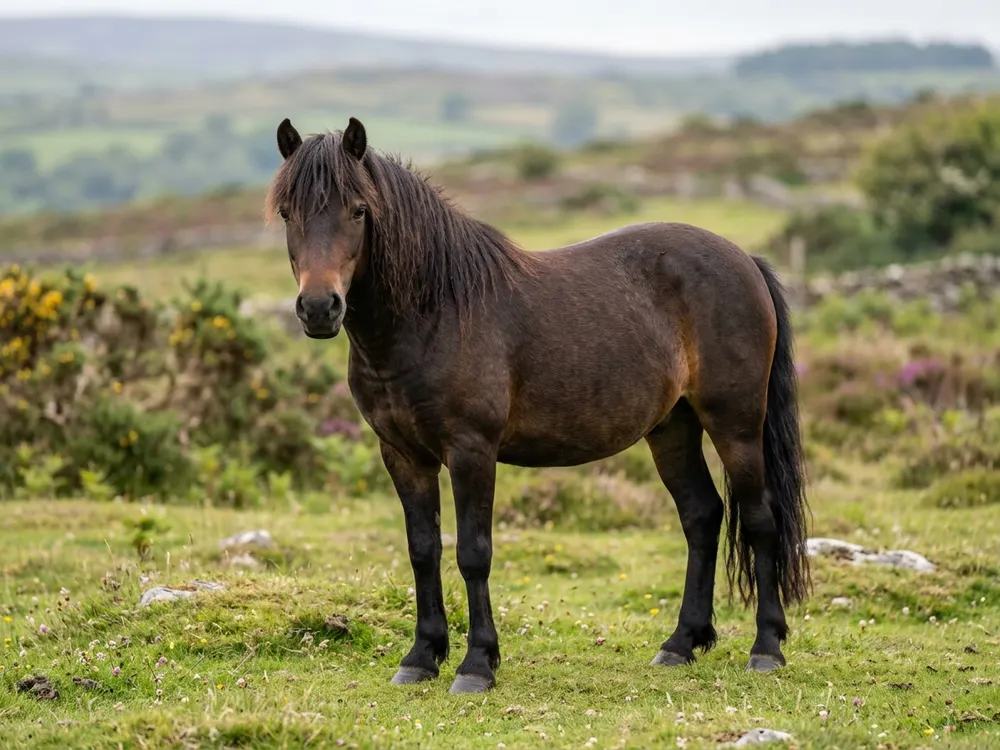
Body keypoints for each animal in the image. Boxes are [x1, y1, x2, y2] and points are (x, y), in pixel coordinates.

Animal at [265, 116, 811, 694]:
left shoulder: (471, 451)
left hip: (736, 424)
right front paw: (421, 657)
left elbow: (473, 553)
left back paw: (766, 648)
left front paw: (477, 664)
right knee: (702, 516)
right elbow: (423, 549)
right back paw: (681, 644)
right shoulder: (402, 454)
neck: (436, 311)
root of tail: (744, 260)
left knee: (760, 519)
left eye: (358, 210)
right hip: (672, 427)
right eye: (288, 213)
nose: (319, 308)